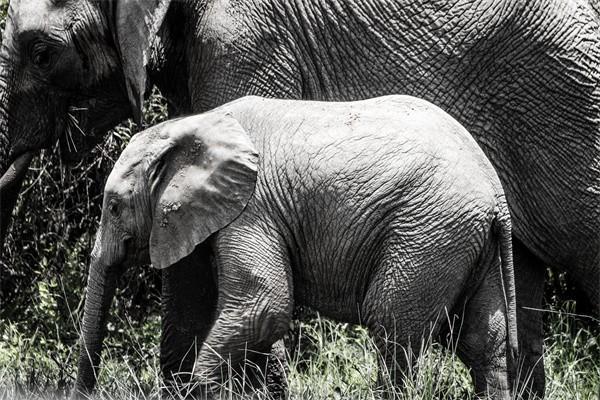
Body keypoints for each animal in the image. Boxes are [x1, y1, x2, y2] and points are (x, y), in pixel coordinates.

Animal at [74, 95, 516, 398]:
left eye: (113, 207)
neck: (193, 125)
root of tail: (497, 195)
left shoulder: (251, 210)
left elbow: (264, 306)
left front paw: (204, 389)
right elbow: (234, 315)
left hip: (429, 231)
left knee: (393, 329)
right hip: (465, 240)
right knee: (483, 342)